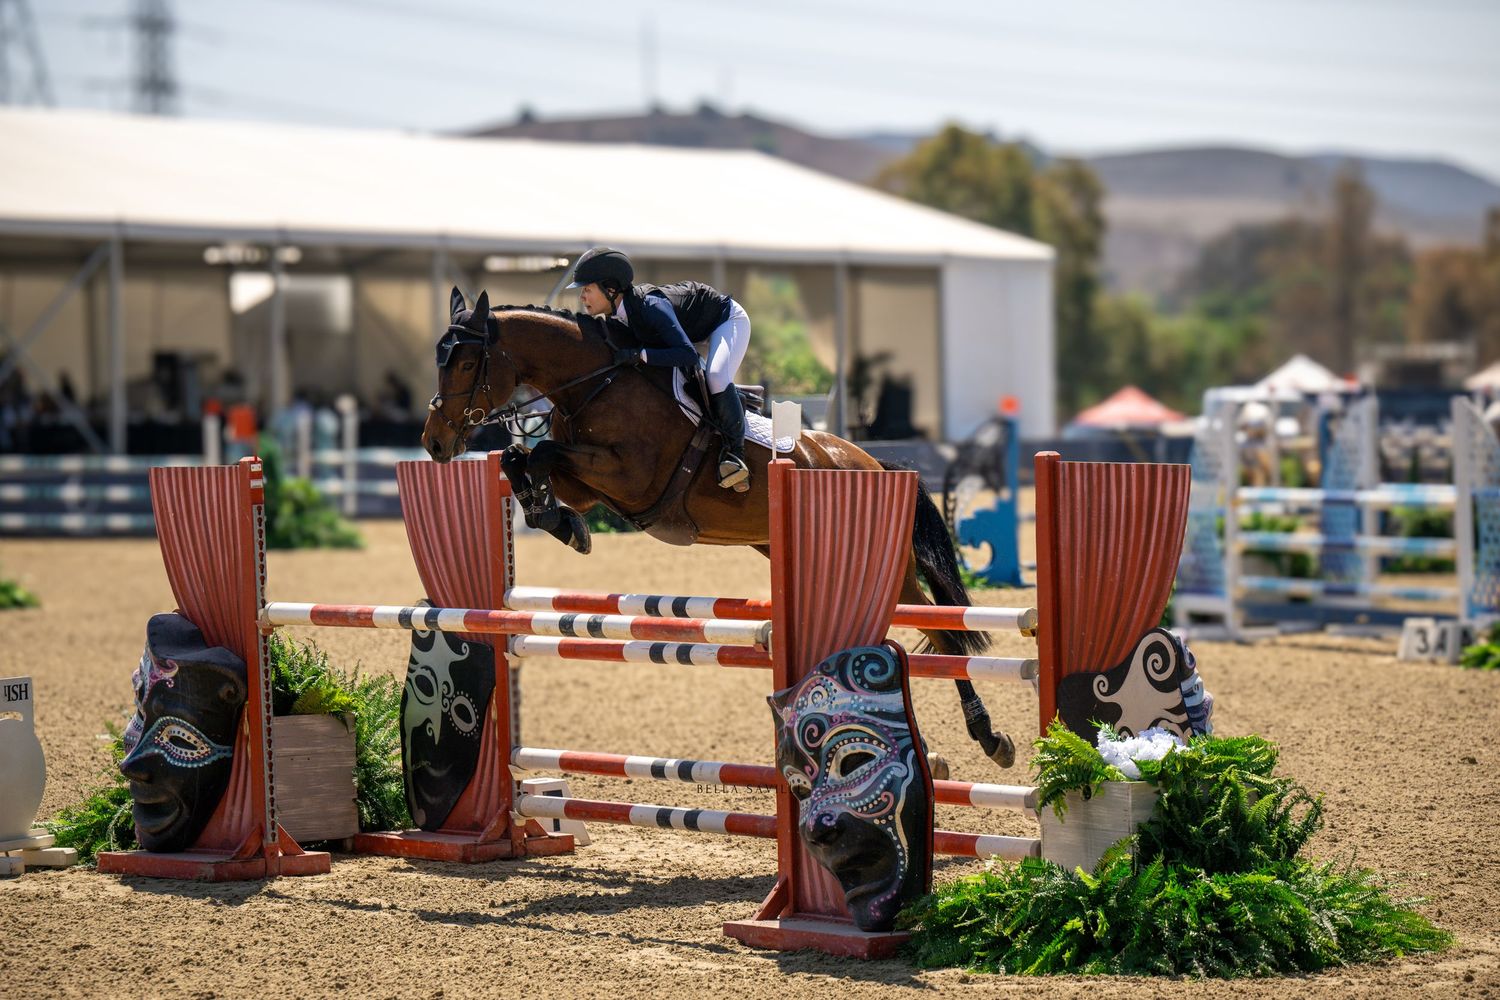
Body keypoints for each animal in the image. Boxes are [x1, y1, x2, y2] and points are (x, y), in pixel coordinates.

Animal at [421, 288, 1016, 769]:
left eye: (467, 362)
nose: (434, 443)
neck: (595, 383)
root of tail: (873, 464)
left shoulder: (629, 475)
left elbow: (541, 452)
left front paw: (561, 521)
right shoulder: (590, 484)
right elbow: (521, 459)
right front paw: (561, 522)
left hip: (890, 567)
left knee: (944, 631)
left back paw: (990, 738)